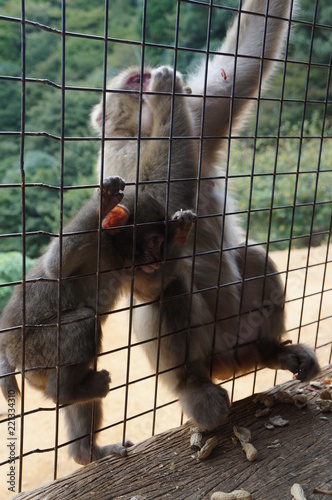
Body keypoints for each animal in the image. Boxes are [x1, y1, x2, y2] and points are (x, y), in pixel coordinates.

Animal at [0, 175, 195, 464]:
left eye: (161, 243)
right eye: (153, 241)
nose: (159, 256)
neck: (112, 252)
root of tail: (8, 349)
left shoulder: (129, 267)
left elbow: (151, 291)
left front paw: (182, 230)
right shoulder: (94, 247)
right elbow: (57, 266)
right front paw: (102, 202)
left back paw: (86, 452)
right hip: (33, 351)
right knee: (84, 322)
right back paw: (64, 393)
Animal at [91, 0, 320, 430]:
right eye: (135, 81)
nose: (148, 82)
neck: (147, 132)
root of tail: (232, 359)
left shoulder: (196, 117)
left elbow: (242, 66)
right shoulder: (118, 158)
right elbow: (146, 214)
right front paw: (165, 94)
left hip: (241, 330)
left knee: (253, 258)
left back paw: (271, 351)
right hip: (203, 350)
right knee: (169, 288)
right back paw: (193, 386)